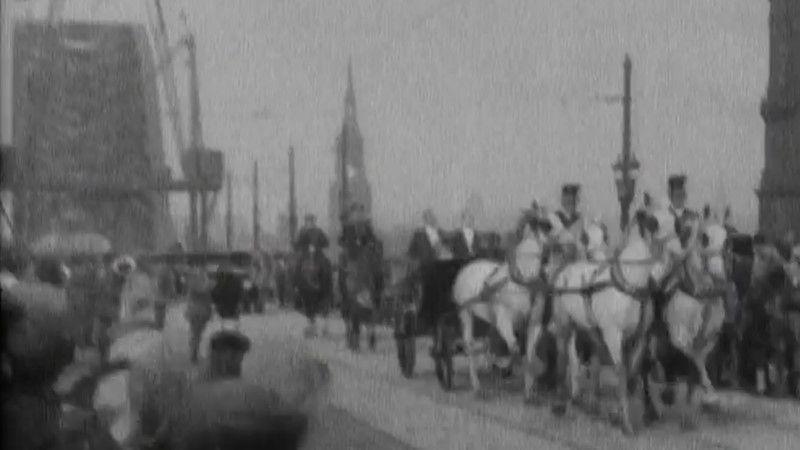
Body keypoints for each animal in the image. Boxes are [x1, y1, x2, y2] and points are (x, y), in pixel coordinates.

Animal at [454, 214, 552, 394]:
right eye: (542, 227)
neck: (522, 283)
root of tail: (468, 267)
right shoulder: (504, 321)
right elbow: (514, 349)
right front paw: (505, 366)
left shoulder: (534, 323)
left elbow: (529, 354)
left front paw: (529, 390)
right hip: (465, 313)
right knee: (469, 346)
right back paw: (476, 384)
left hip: (487, 319)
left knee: (486, 343)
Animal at [544, 209, 664, 434]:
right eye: (654, 222)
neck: (630, 285)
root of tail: (565, 270)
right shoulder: (613, 335)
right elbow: (621, 372)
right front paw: (625, 423)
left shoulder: (639, 337)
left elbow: (632, 374)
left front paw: (617, 413)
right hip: (564, 324)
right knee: (564, 357)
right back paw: (560, 402)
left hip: (588, 329)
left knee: (583, 360)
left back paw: (587, 401)